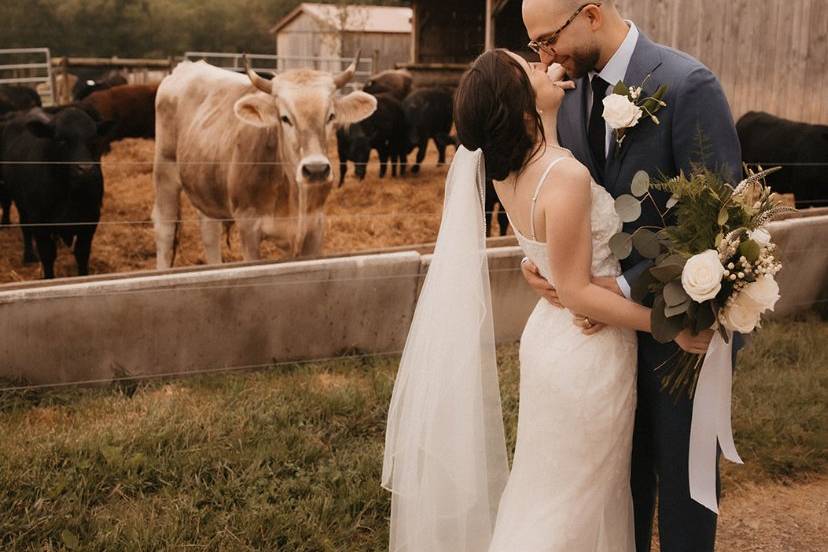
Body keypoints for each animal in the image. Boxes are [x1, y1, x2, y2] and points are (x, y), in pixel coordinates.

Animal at [0, 108, 112, 278]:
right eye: (61, 140)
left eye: (93, 140)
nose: (85, 169)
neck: (68, 195)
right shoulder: (39, 221)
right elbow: (47, 255)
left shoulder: (90, 219)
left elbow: (82, 253)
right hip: (20, 201)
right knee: (24, 226)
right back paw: (28, 255)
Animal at [153, 52, 378, 268]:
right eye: (285, 118)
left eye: (330, 116)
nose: (316, 169)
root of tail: (188, 66)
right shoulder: (248, 226)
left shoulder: (314, 227)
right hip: (165, 172)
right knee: (165, 231)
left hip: (205, 185)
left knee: (209, 233)